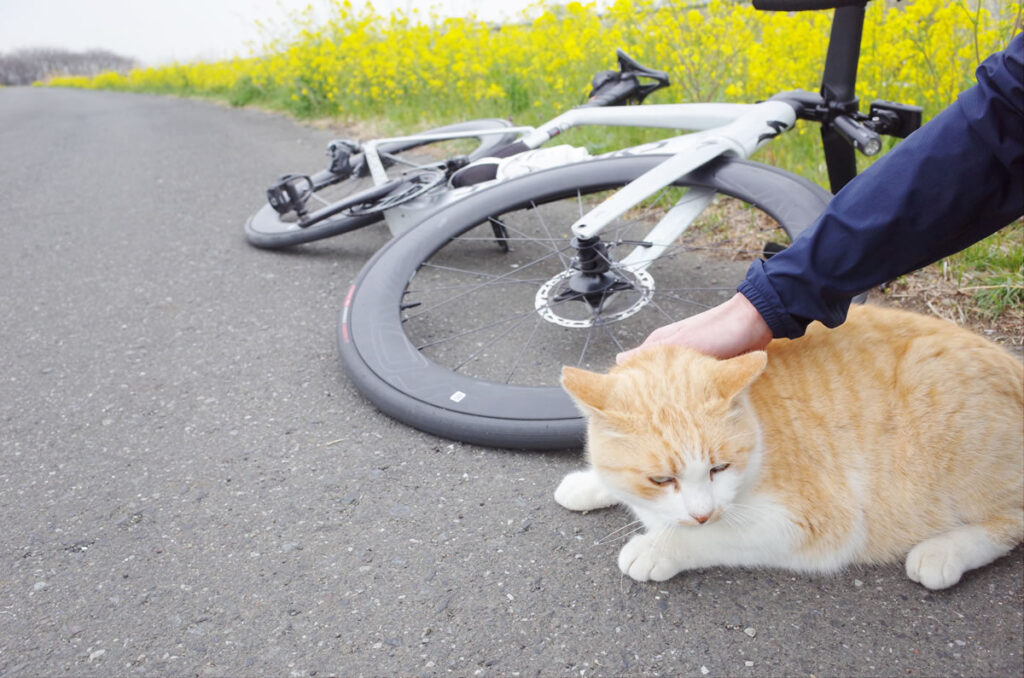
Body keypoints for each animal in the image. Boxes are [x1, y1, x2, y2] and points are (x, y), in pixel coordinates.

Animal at [557, 303, 1019, 589]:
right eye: (660, 479)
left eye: (719, 469)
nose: (702, 513)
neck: (760, 424)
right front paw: (588, 484)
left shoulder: (816, 524)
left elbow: (713, 536)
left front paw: (656, 548)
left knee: (1013, 519)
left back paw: (944, 552)